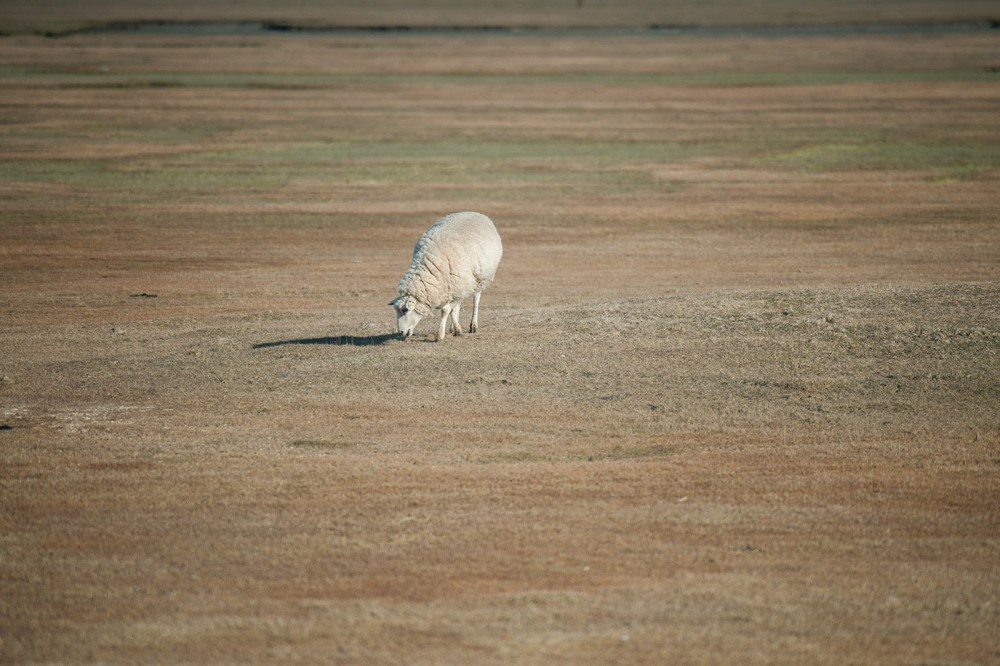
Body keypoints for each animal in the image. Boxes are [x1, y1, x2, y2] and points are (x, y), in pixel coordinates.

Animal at [388, 210, 504, 340]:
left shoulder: (457, 288)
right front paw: (456, 329)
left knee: (476, 300)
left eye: (405, 310)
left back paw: (473, 325)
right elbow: (452, 310)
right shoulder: (450, 288)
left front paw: (441, 334)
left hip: (479, 280)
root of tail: (475, 213)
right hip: (460, 286)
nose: (401, 332)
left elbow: (446, 311)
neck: (431, 266)